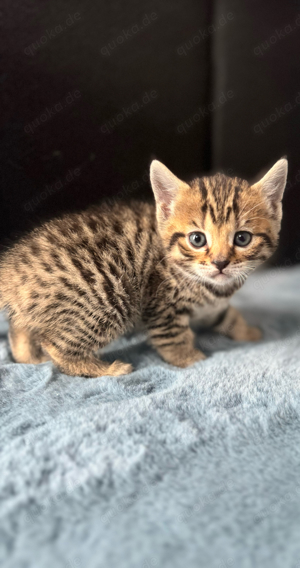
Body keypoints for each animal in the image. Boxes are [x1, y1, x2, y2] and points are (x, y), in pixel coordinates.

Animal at [0, 158, 288, 378]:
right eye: (197, 239)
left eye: (242, 238)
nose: (220, 263)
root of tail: (12, 268)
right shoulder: (161, 306)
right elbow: (174, 340)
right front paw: (193, 360)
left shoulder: (211, 305)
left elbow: (227, 316)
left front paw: (248, 331)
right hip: (107, 300)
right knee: (55, 345)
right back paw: (105, 370)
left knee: (20, 328)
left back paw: (28, 357)